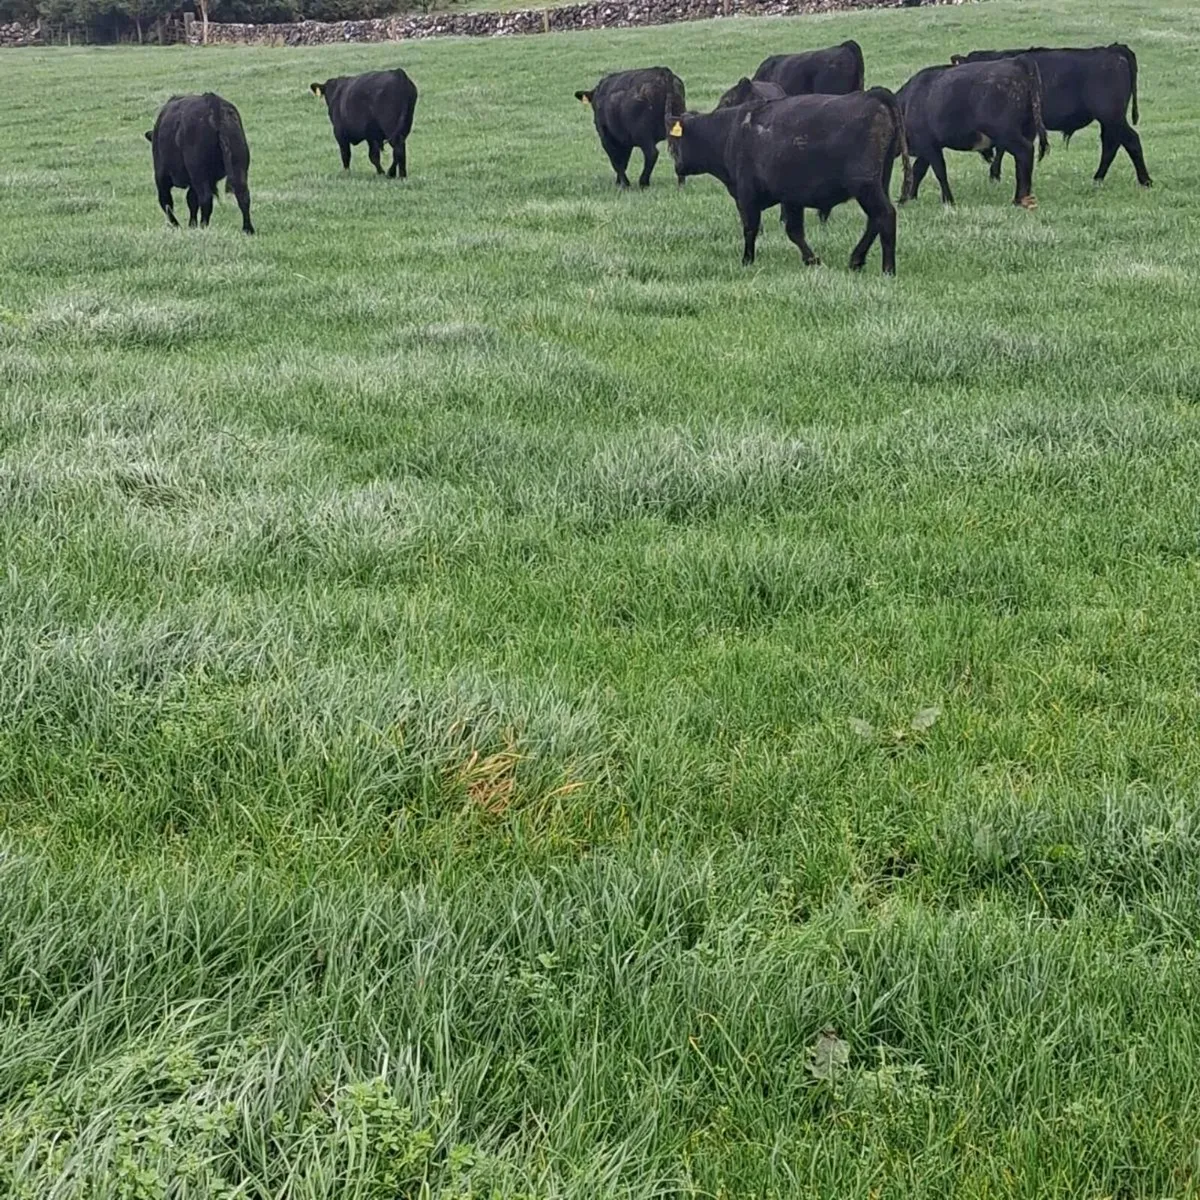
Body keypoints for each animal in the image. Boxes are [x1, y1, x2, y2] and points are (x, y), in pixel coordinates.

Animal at [144, 93, 253, 234]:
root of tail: (213, 102)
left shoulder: (161, 175)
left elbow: (167, 202)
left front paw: (178, 226)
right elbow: (191, 200)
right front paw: (191, 225)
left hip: (198, 172)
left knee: (205, 198)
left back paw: (203, 226)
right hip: (238, 165)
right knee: (243, 194)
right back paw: (248, 229)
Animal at [665, 88, 911, 275]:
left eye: (675, 142)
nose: (677, 166)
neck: (730, 132)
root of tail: (873, 95)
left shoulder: (746, 195)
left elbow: (750, 228)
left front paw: (747, 260)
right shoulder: (791, 198)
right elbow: (794, 232)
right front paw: (812, 260)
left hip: (865, 185)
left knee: (885, 215)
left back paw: (888, 269)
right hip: (879, 182)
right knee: (874, 221)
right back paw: (856, 260)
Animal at [896, 57, 1048, 209]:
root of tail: (1017, 60)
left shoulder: (928, 145)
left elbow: (939, 172)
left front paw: (948, 201)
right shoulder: (927, 147)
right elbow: (918, 171)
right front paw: (909, 199)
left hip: (1006, 133)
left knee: (1025, 151)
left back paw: (1019, 199)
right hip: (1027, 130)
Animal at [949, 45, 1151, 187]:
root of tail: (1112, 49)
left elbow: (1001, 148)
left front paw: (994, 176)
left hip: (1111, 116)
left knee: (1130, 140)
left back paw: (1145, 181)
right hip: (1109, 119)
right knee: (1111, 143)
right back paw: (1098, 179)